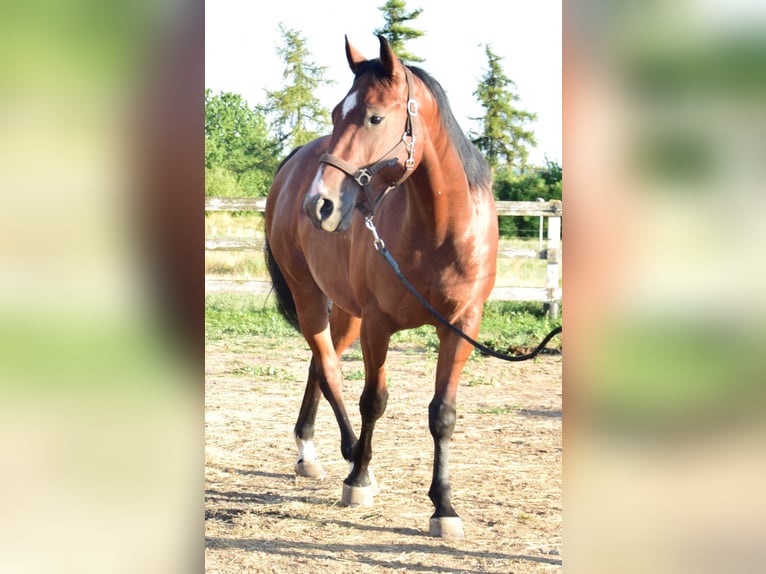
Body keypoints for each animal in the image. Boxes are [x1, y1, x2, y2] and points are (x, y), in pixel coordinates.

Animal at [264, 35, 499, 539]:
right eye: (336, 113)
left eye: (374, 117)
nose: (319, 204)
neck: (438, 231)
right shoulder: (378, 325)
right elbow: (373, 400)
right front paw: (358, 481)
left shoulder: (461, 326)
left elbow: (443, 414)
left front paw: (444, 506)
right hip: (311, 296)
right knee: (329, 367)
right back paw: (345, 455)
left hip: (344, 310)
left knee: (321, 361)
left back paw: (311, 451)